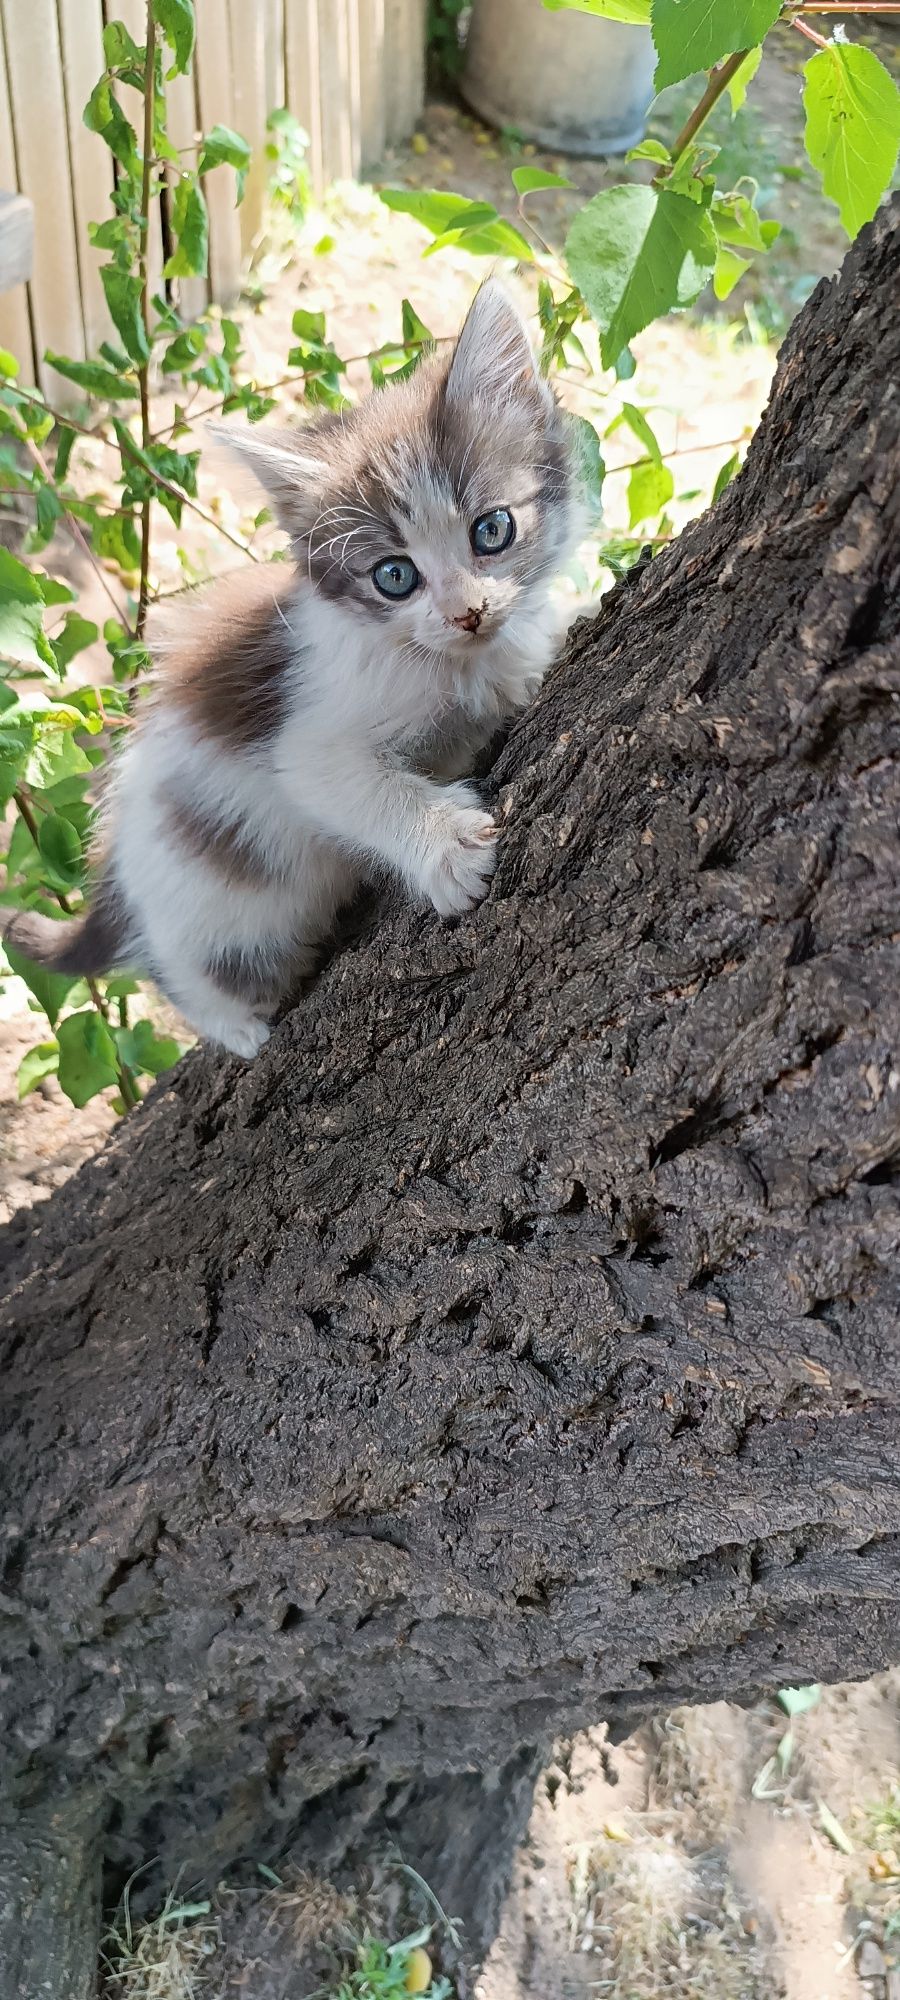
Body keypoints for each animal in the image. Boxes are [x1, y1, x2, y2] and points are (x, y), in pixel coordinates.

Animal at [7, 288, 576, 1064]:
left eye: (493, 530)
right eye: (394, 576)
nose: (468, 613)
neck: (444, 660)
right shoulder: (306, 736)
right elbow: (345, 782)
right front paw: (445, 848)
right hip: (210, 905)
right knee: (181, 969)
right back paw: (234, 1023)